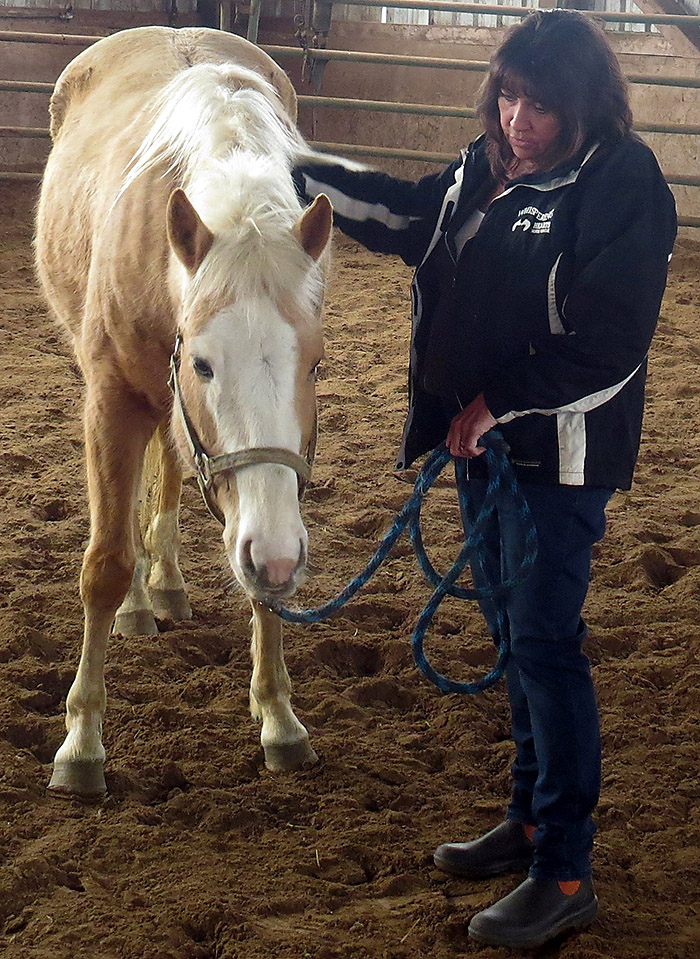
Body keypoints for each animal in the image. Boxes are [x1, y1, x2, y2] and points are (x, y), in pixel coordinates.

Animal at [34, 26, 334, 800]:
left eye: (314, 364)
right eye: (203, 363)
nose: (280, 555)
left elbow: (259, 578)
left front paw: (278, 717)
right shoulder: (112, 401)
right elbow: (106, 564)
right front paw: (81, 742)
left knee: (169, 468)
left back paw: (163, 583)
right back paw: (142, 600)